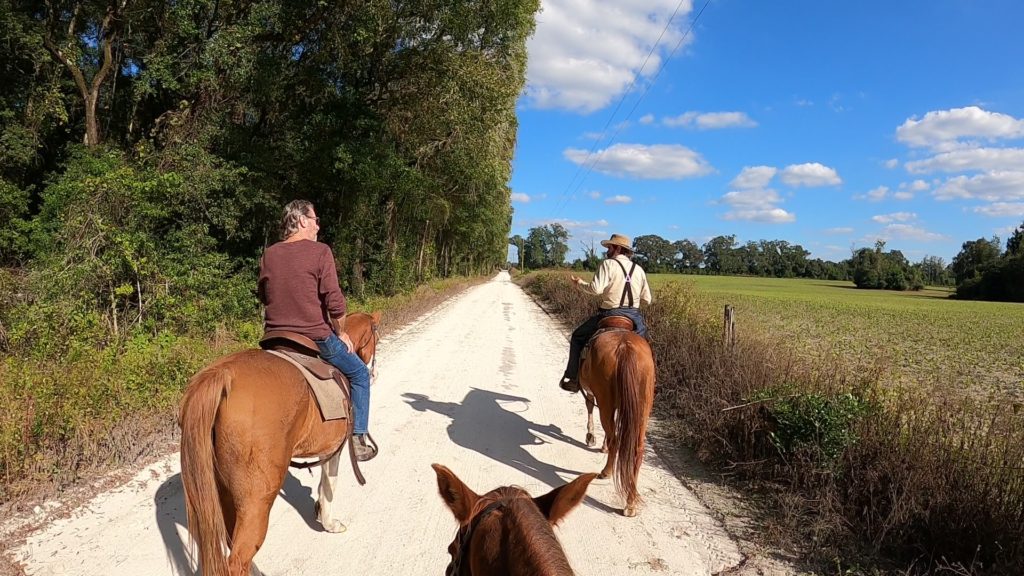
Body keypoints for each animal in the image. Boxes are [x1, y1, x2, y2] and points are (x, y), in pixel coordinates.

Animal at [178, 311, 382, 573]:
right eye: (375, 336)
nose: (372, 373)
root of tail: (222, 375)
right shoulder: (333, 447)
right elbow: (330, 483)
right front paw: (329, 522)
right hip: (256, 500)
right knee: (238, 558)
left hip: (221, 489)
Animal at [581, 313, 651, 516]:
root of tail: (625, 348)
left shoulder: (593, 393)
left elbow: (589, 406)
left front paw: (591, 437)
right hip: (643, 408)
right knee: (636, 449)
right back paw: (630, 503)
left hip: (606, 401)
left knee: (615, 438)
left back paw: (606, 472)